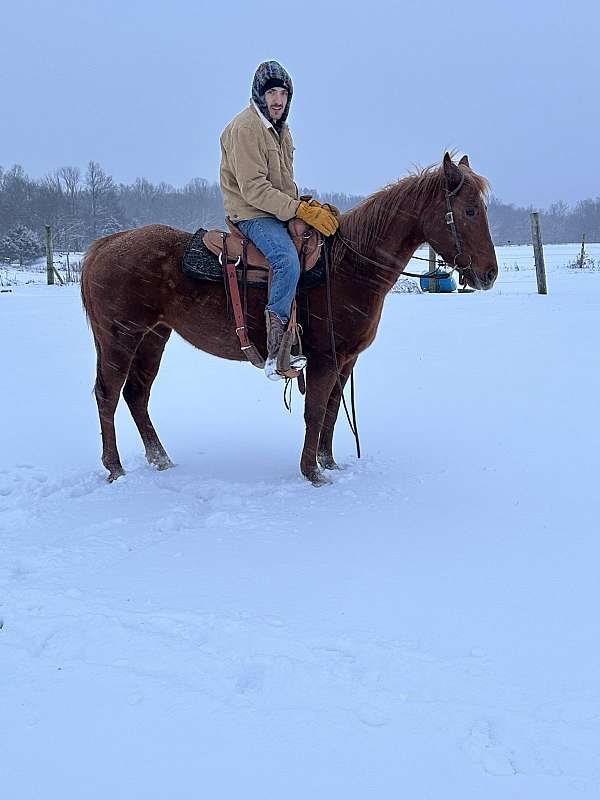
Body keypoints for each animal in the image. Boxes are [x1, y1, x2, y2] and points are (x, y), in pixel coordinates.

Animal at [82, 153, 500, 484]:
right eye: (468, 211)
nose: (490, 273)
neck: (349, 266)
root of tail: (103, 245)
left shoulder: (345, 360)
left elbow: (331, 411)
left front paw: (328, 463)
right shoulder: (324, 358)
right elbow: (314, 410)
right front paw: (312, 474)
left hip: (153, 337)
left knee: (136, 395)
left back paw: (161, 460)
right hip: (120, 339)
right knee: (108, 395)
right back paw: (115, 468)